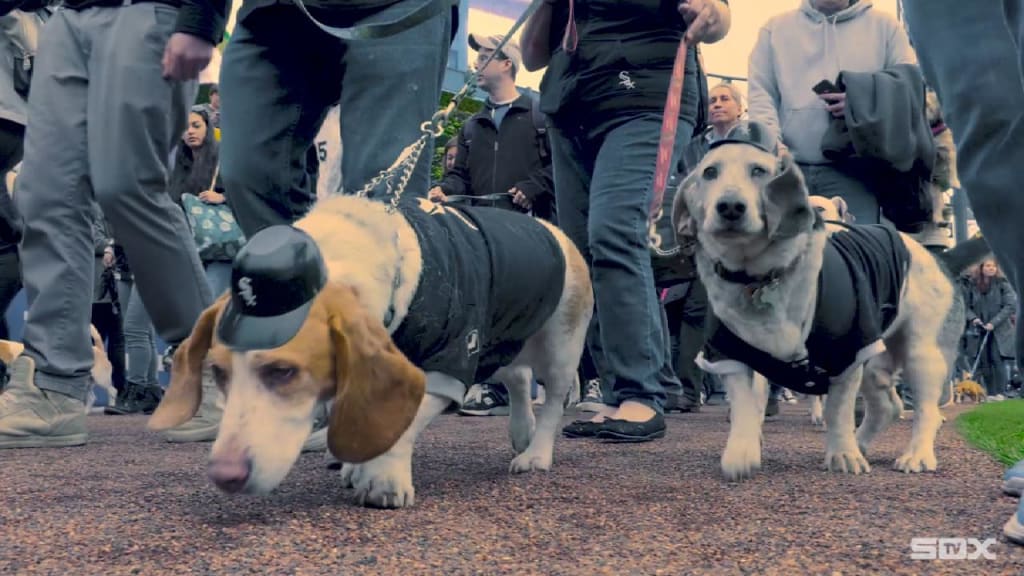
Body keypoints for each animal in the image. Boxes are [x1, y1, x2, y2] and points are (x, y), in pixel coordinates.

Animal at [146, 193, 593, 506]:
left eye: (283, 372)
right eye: (218, 373)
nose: (225, 476)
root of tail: (553, 230)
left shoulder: (448, 364)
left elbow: (402, 425)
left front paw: (383, 479)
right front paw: (357, 465)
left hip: (559, 347)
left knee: (553, 399)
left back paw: (536, 454)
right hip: (499, 341)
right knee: (517, 377)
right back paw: (521, 431)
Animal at [671, 136, 983, 477]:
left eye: (759, 171)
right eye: (710, 172)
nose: (730, 206)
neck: (761, 277)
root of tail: (941, 259)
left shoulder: (848, 353)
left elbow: (838, 411)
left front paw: (843, 454)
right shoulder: (731, 356)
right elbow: (745, 407)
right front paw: (742, 451)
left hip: (922, 355)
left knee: (925, 411)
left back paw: (916, 455)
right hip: (876, 363)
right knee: (888, 407)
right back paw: (862, 442)